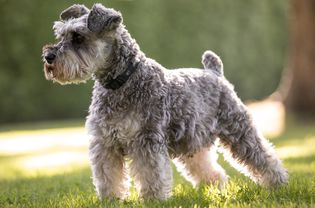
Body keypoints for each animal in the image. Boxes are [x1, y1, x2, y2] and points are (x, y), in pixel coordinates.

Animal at [42, 3, 288, 201]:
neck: (122, 82)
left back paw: (279, 183)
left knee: (264, 156)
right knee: (209, 168)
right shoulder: (105, 143)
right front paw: (110, 200)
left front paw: (153, 200)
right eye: (61, 35)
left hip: (239, 131)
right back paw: (214, 187)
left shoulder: (146, 141)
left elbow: (151, 174)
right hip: (193, 142)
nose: (48, 57)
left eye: (78, 36)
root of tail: (215, 72)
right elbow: (107, 176)